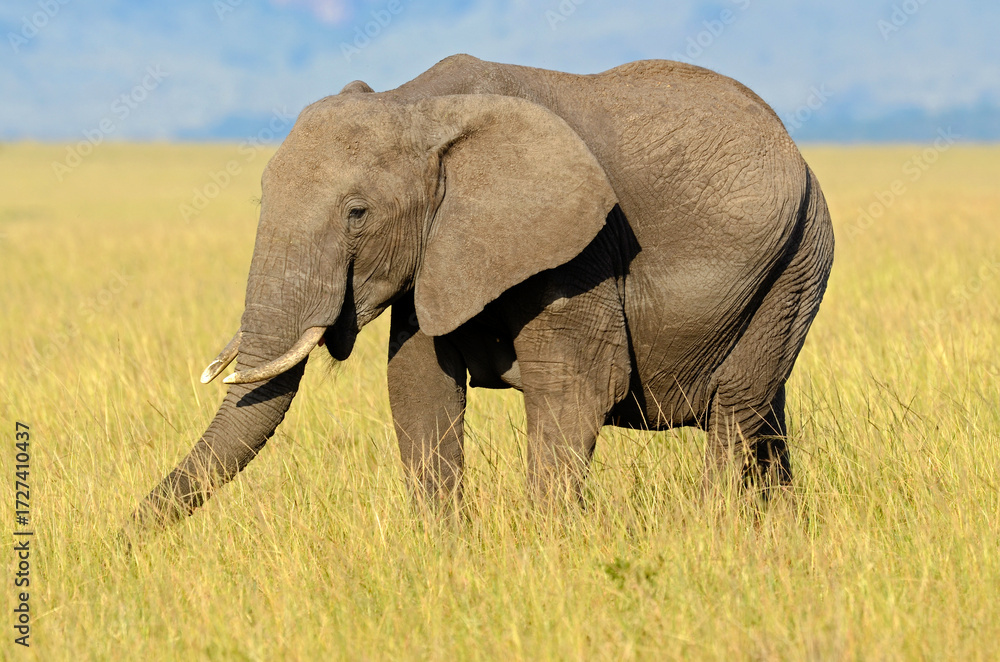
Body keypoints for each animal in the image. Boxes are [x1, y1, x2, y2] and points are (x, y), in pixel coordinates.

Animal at [125, 54, 833, 535]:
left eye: (357, 213)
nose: (120, 542)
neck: (416, 105)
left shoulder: (577, 243)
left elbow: (576, 388)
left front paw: (550, 550)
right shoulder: (434, 247)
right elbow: (418, 386)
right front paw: (444, 551)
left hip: (798, 260)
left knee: (735, 409)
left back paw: (721, 534)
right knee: (765, 414)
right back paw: (782, 535)